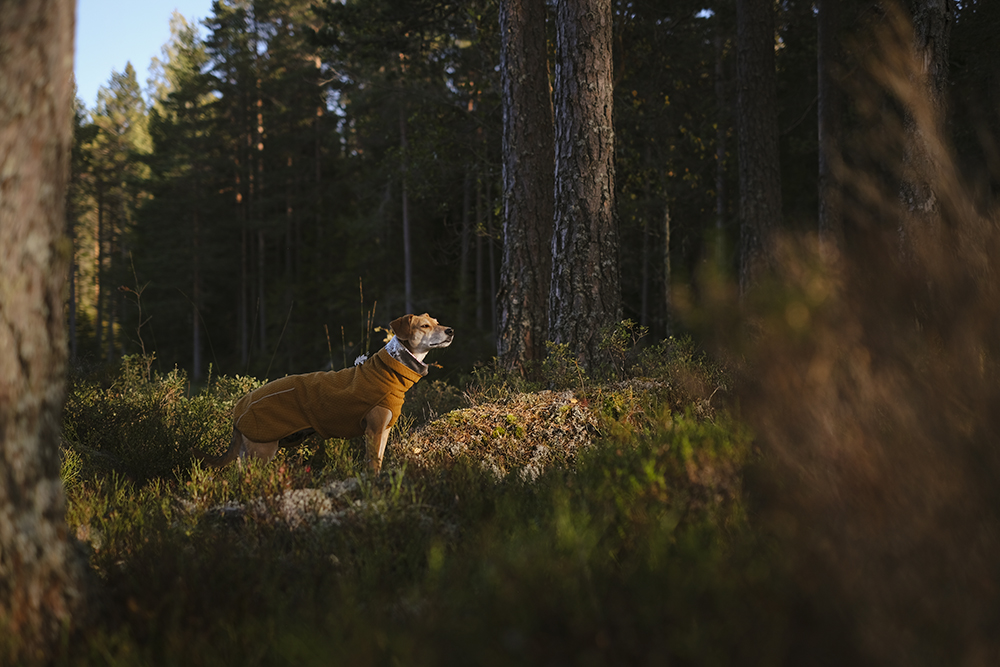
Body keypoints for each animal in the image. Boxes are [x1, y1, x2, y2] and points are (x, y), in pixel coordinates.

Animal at [205, 314, 456, 474]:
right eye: (424, 326)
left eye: (437, 322)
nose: (451, 330)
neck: (392, 367)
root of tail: (239, 407)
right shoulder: (373, 430)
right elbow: (372, 465)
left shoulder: (383, 431)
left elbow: (379, 461)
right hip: (262, 450)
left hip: (249, 453)